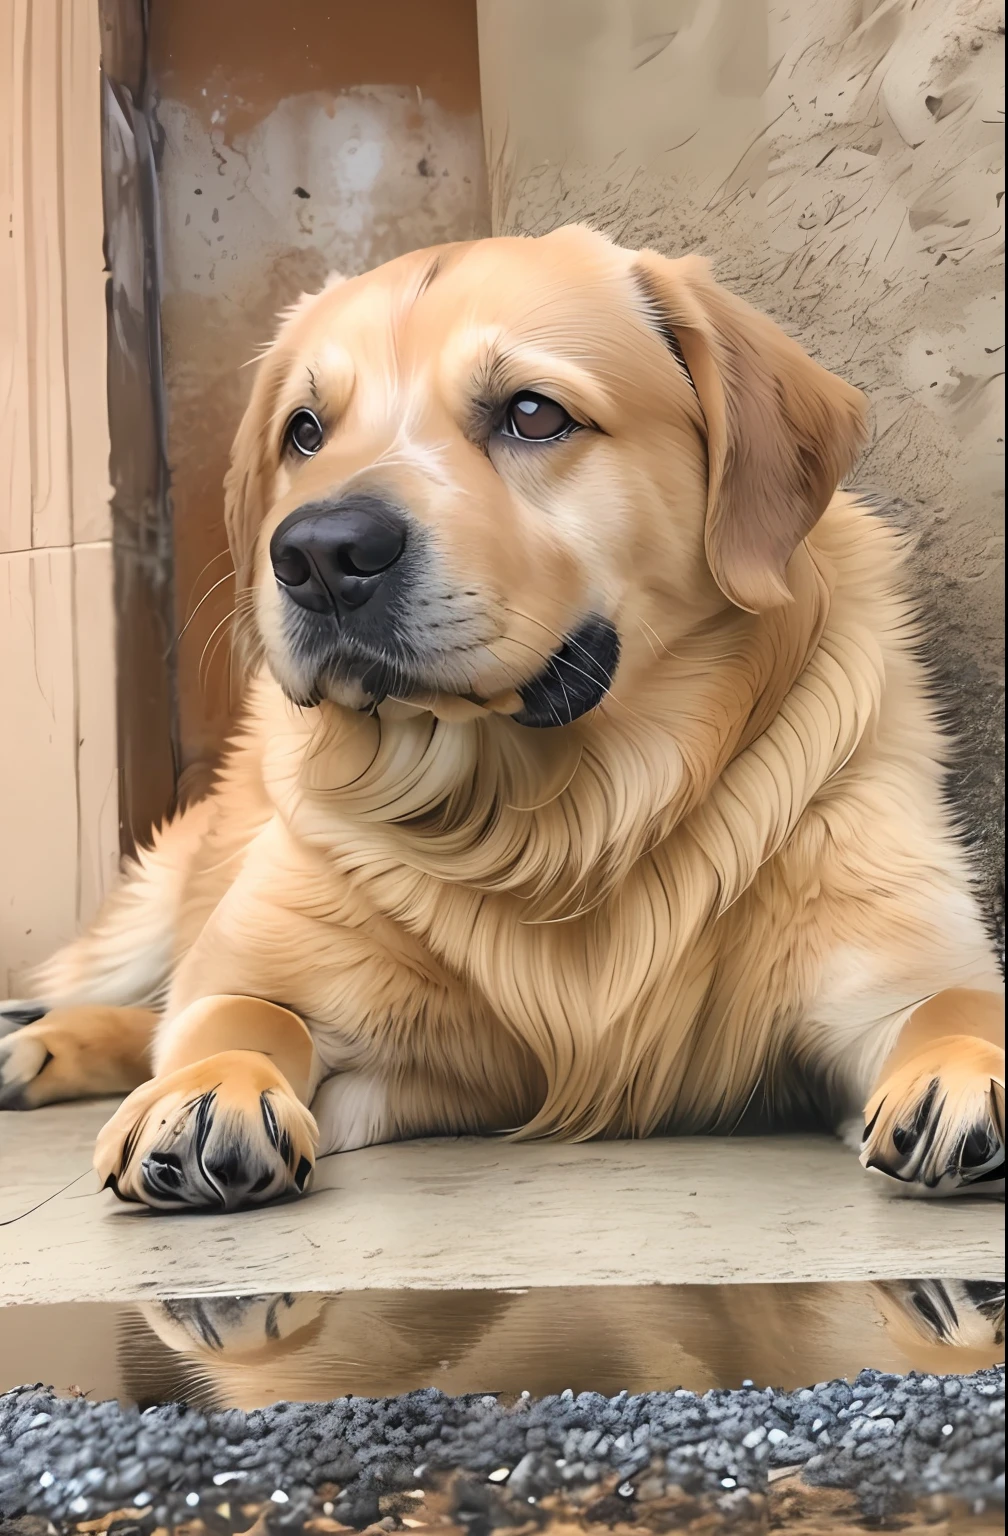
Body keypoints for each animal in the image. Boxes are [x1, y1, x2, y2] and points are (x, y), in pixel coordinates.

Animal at [0, 227, 1001, 1210]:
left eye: (533, 413)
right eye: (305, 431)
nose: (317, 555)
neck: (550, 818)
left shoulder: (899, 968)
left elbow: (957, 1004)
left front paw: (969, 1066)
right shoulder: (267, 972)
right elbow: (235, 1012)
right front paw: (209, 1087)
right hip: (147, 914)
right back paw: (32, 1042)